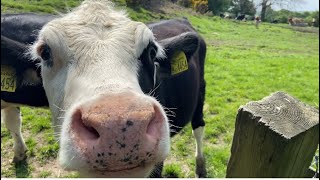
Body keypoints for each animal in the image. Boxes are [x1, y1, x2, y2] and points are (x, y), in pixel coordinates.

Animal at [1, 0, 208, 177]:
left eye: (151, 51)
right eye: (45, 52)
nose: (117, 126)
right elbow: (12, 122)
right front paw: (19, 154)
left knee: (198, 127)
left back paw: (200, 166)